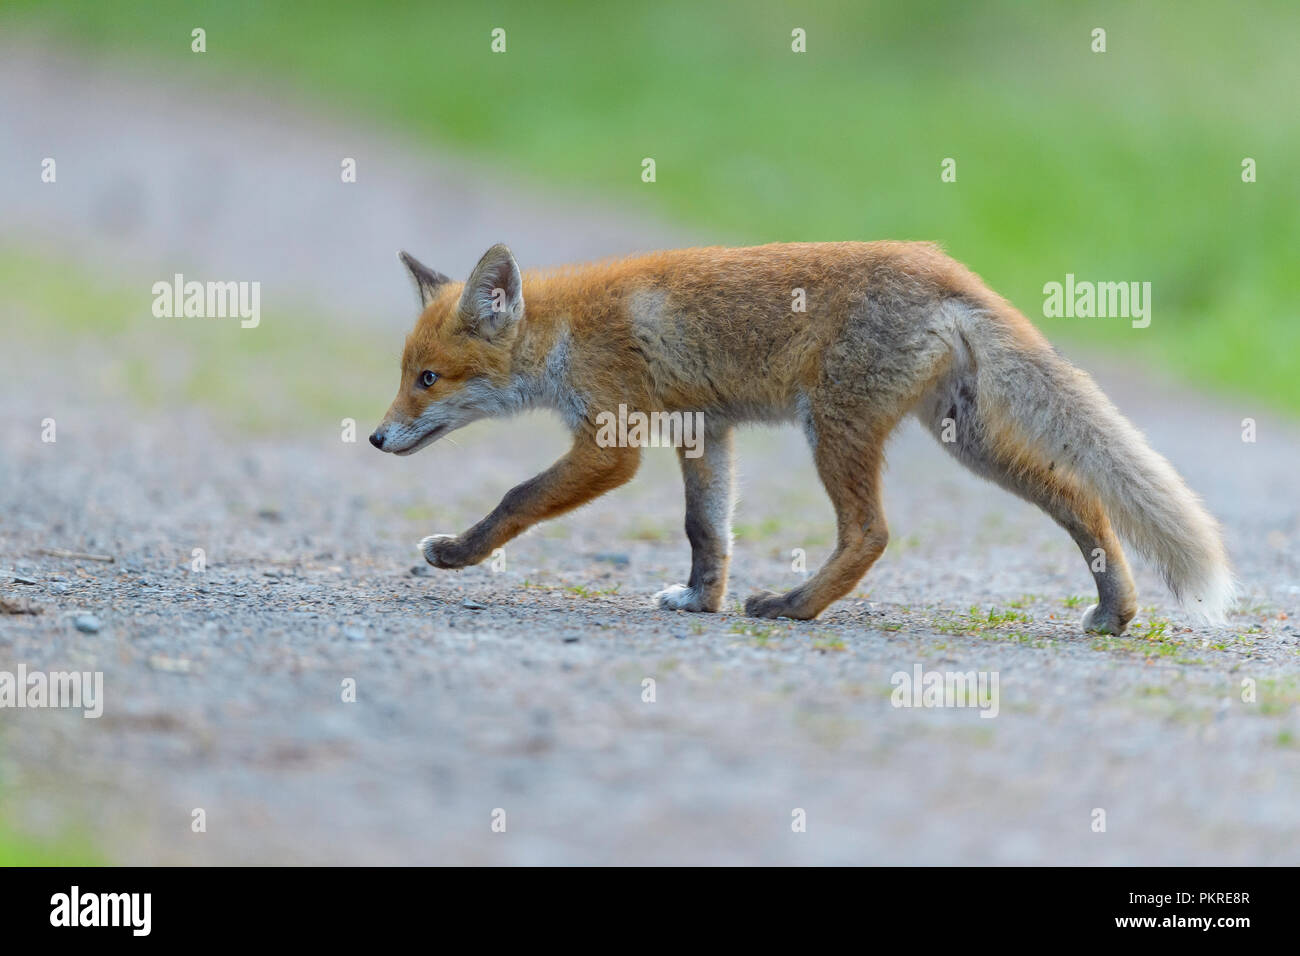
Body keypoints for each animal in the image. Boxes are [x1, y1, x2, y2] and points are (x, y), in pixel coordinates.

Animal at [371, 239, 1232, 632]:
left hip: (837, 428)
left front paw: (457, 554)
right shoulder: (703, 428)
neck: (565, 335)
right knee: (1082, 497)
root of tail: (944, 264)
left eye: (428, 378)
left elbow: (518, 497)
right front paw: (701, 598)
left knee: (871, 533)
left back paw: (795, 606)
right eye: (406, 372)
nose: (377, 439)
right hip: (967, 439)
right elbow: (705, 528)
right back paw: (1115, 610)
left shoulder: (612, 444)